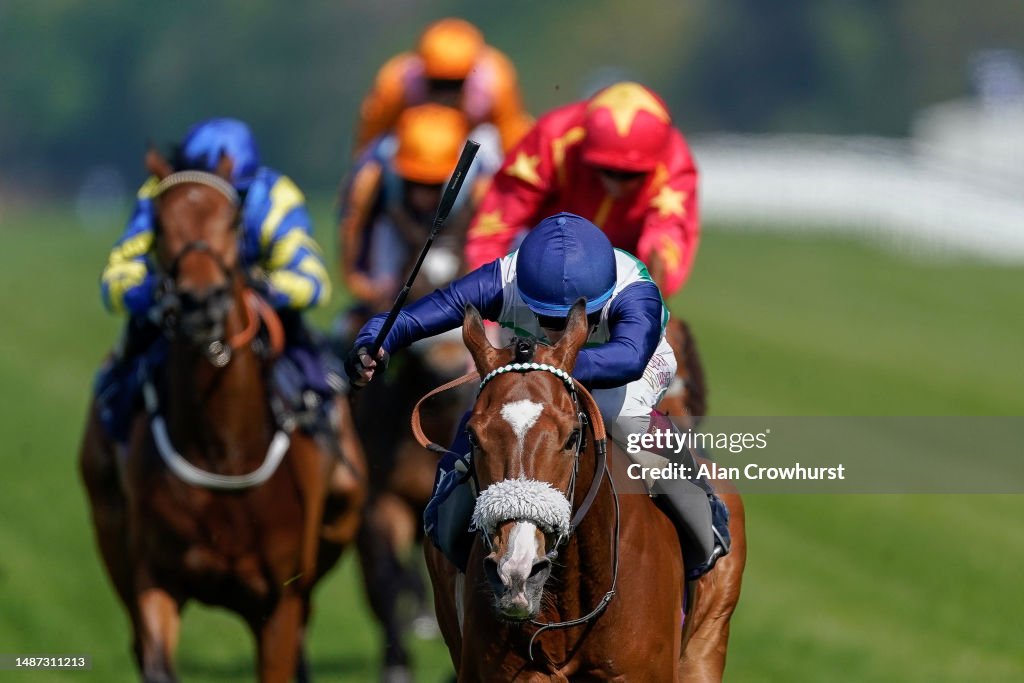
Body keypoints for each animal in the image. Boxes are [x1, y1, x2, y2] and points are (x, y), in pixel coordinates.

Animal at [80, 150, 368, 683]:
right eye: (158, 221)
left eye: (233, 220)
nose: (200, 302)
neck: (223, 450)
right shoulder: (155, 579)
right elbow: (155, 657)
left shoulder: (278, 601)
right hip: (108, 523)